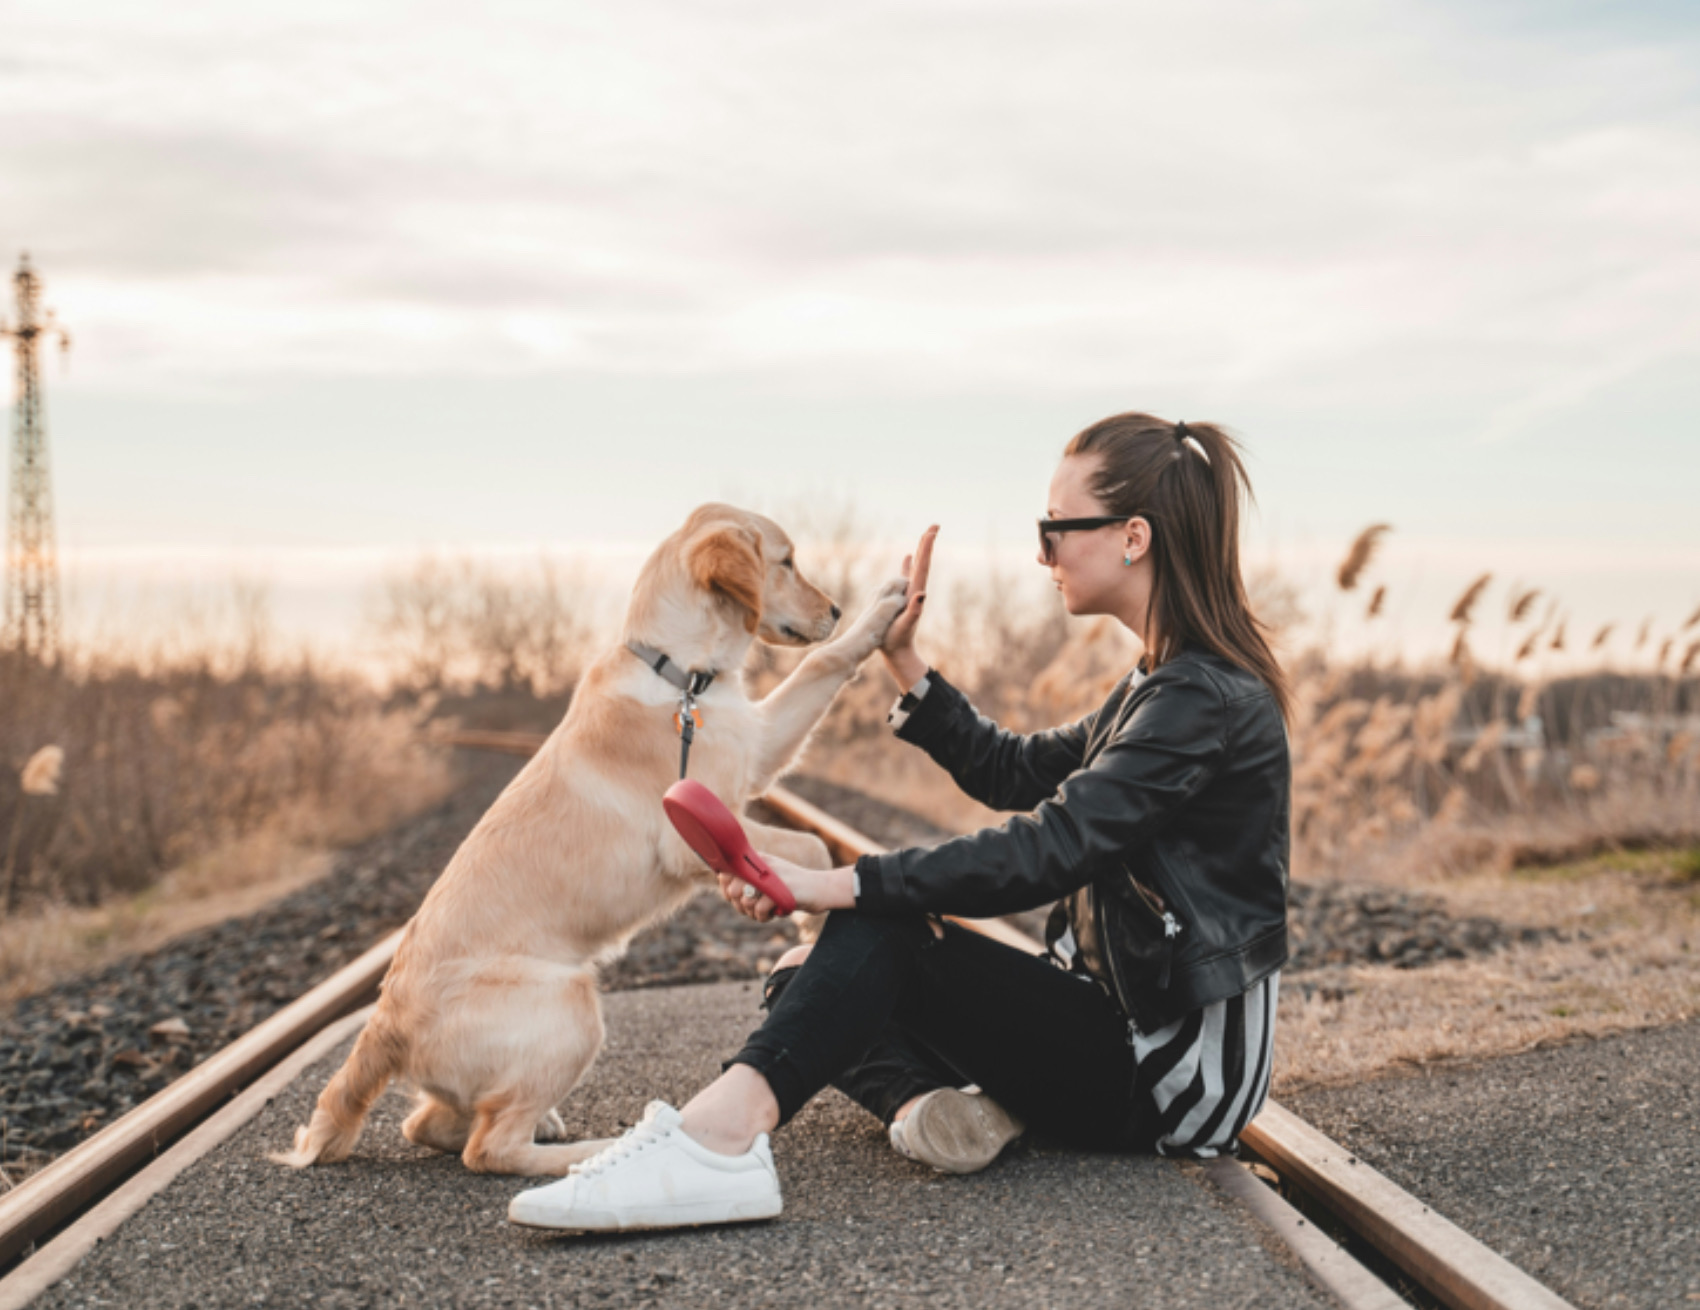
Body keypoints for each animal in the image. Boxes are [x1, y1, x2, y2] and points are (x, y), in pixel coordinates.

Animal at [275, 506, 918, 1175]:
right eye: (787, 561)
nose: (837, 609)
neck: (681, 676)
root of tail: (384, 1024)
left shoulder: (757, 746)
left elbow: (822, 665)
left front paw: (879, 612)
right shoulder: (690, 832)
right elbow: (811, 848)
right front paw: (813, 925)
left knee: (427, 1124)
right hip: (572, 1004)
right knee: (489, 1148)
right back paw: (601, 1150)